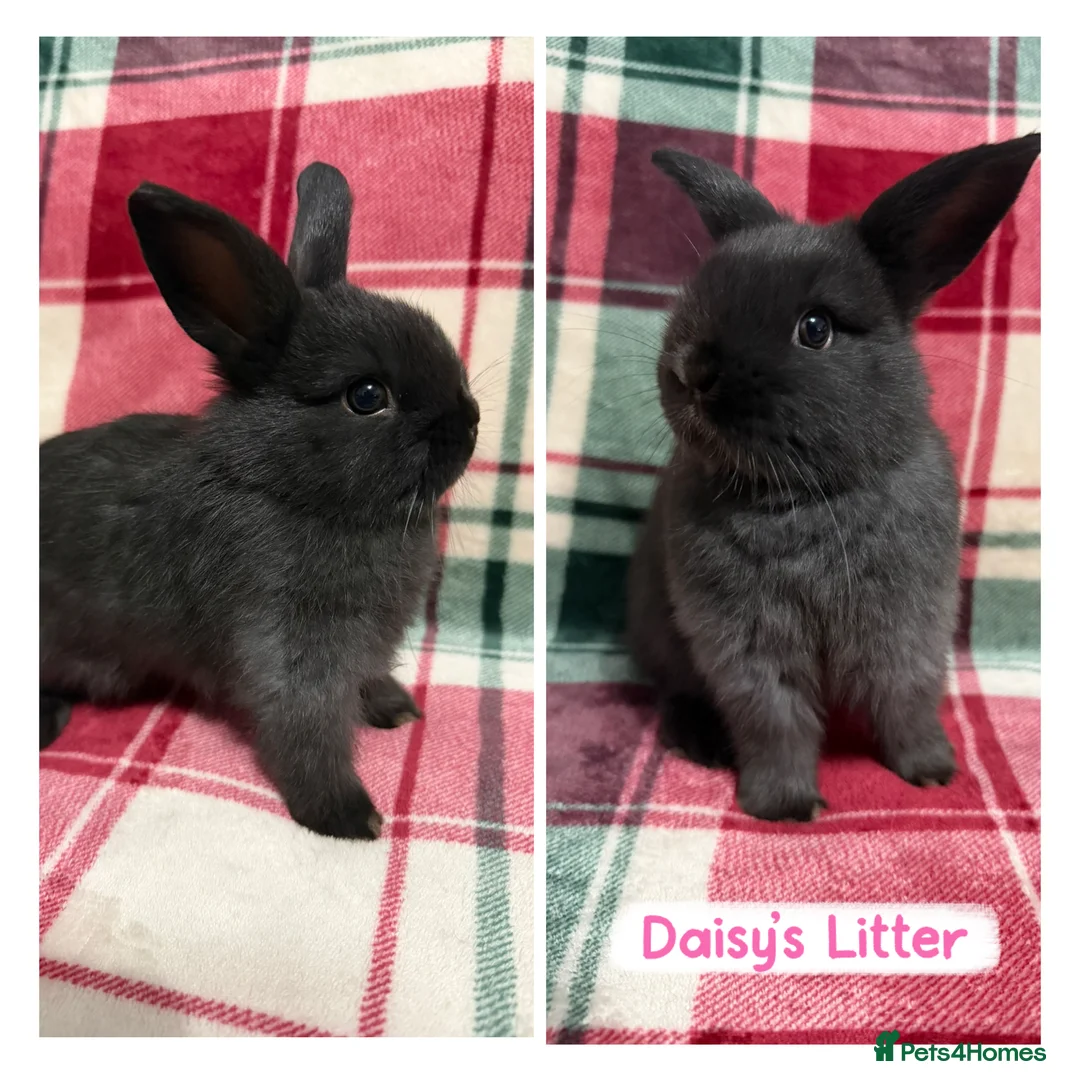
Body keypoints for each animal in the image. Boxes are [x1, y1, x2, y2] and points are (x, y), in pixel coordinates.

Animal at [39, 162, 480, 840]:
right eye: (367, 396)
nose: (471, 423)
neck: (291, 490)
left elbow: (364, 684)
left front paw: (395, 709)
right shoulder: (288, 652)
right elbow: (304, 732)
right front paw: (347, 816)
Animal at [626, 134, 1040, 822]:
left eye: (815, 328)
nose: (691, 371)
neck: (805, 498)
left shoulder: (907, 631)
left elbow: (906, 704)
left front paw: (932, 774)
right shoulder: (748, 647)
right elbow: (775, 722)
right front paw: (786, 805)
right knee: (678, 692)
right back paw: (700, 745)